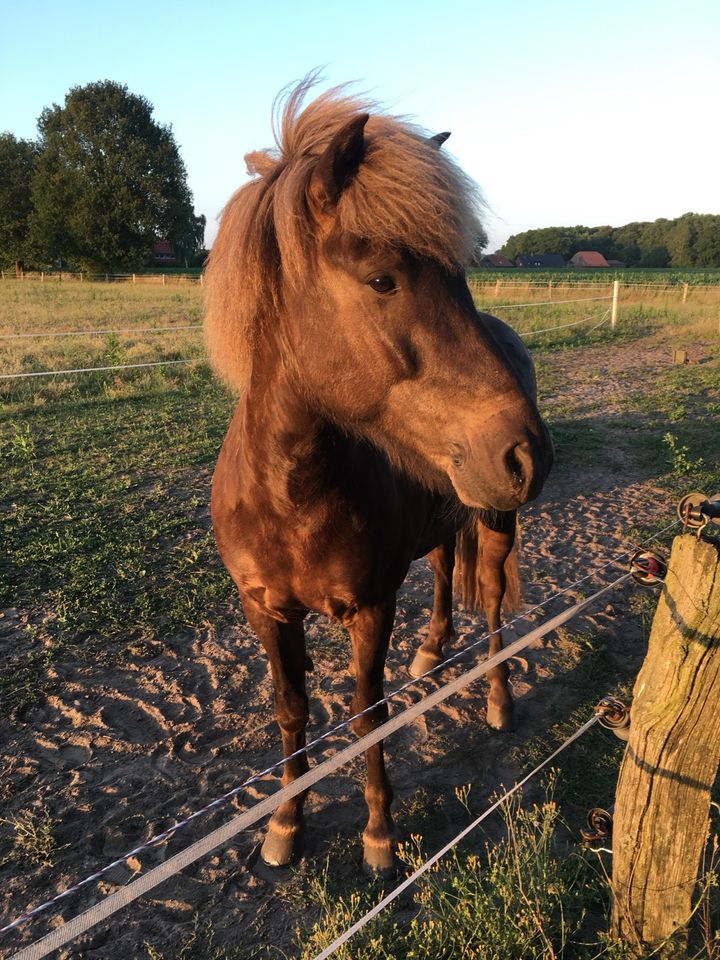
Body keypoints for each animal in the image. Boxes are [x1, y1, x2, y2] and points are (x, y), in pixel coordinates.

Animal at [205, 79, 556, 872]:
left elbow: (368, 715)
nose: (525, 454)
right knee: (445, 566)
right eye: (381, 279)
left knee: (492, 603)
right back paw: (433, 648)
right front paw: (286, 825)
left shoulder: (370, 606)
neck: (289, 497)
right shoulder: (265, 612)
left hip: (496, 520)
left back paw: (498, 700)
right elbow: (292, 711)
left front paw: (379, 835)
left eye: (460, 275)